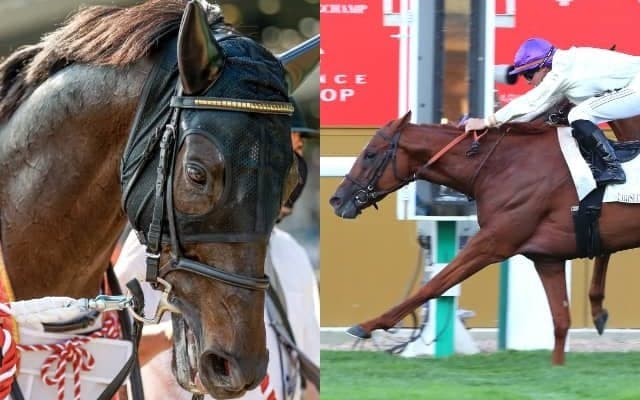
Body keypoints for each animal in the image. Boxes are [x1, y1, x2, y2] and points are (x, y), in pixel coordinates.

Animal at [329, 111, 640, 365]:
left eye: (370, 154)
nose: (337, 199)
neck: (504, 166)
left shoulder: (492, 243)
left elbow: (435, 284)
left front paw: (369, 325)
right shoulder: (546, 258)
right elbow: (561, 321)